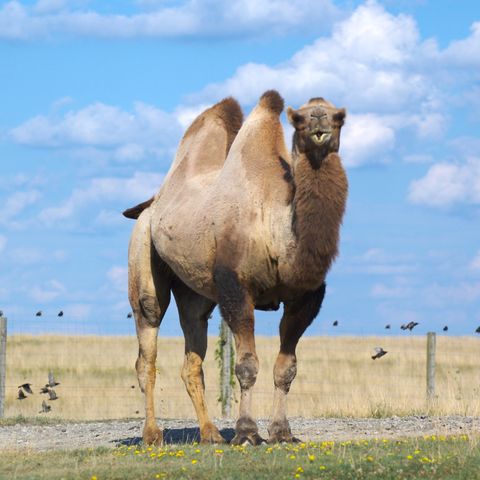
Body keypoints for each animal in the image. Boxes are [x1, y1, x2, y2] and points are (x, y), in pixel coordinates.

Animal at [124, 91, 346, 446]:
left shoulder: (305, 297)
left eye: (339, 117)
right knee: (147, 339)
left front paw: (282, 433)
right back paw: (152, 435)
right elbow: (246, 366)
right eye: (299, 119)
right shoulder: (235, 287)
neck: (275, 229)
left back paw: (211, 434)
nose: (319, 126)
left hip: (194, 293)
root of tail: (151, 205)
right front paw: (246, 432)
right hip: (143, 250)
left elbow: (287, 368)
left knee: (192, 350)